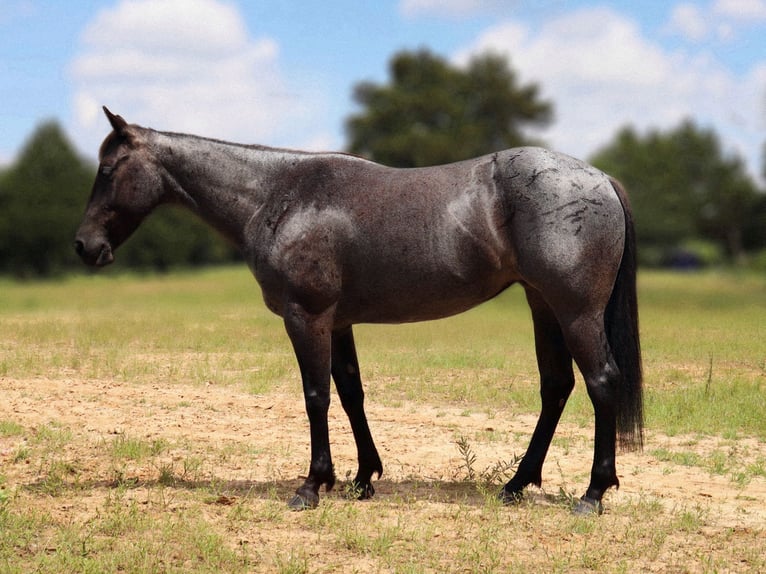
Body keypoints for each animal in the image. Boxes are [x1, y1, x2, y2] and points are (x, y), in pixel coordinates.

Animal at [76, 108, 640, 516]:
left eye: (107, 170)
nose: (84, 246)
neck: (277, 194)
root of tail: (601, 179)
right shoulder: (339, 321)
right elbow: (350, 393)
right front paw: (363, 478)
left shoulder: (306, 317)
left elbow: (316, 396)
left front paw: (311, 485)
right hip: (543, 305)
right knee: (556, 387)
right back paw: (516, 484)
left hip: (575, 313)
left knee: (601, 383)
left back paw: (592, 494)